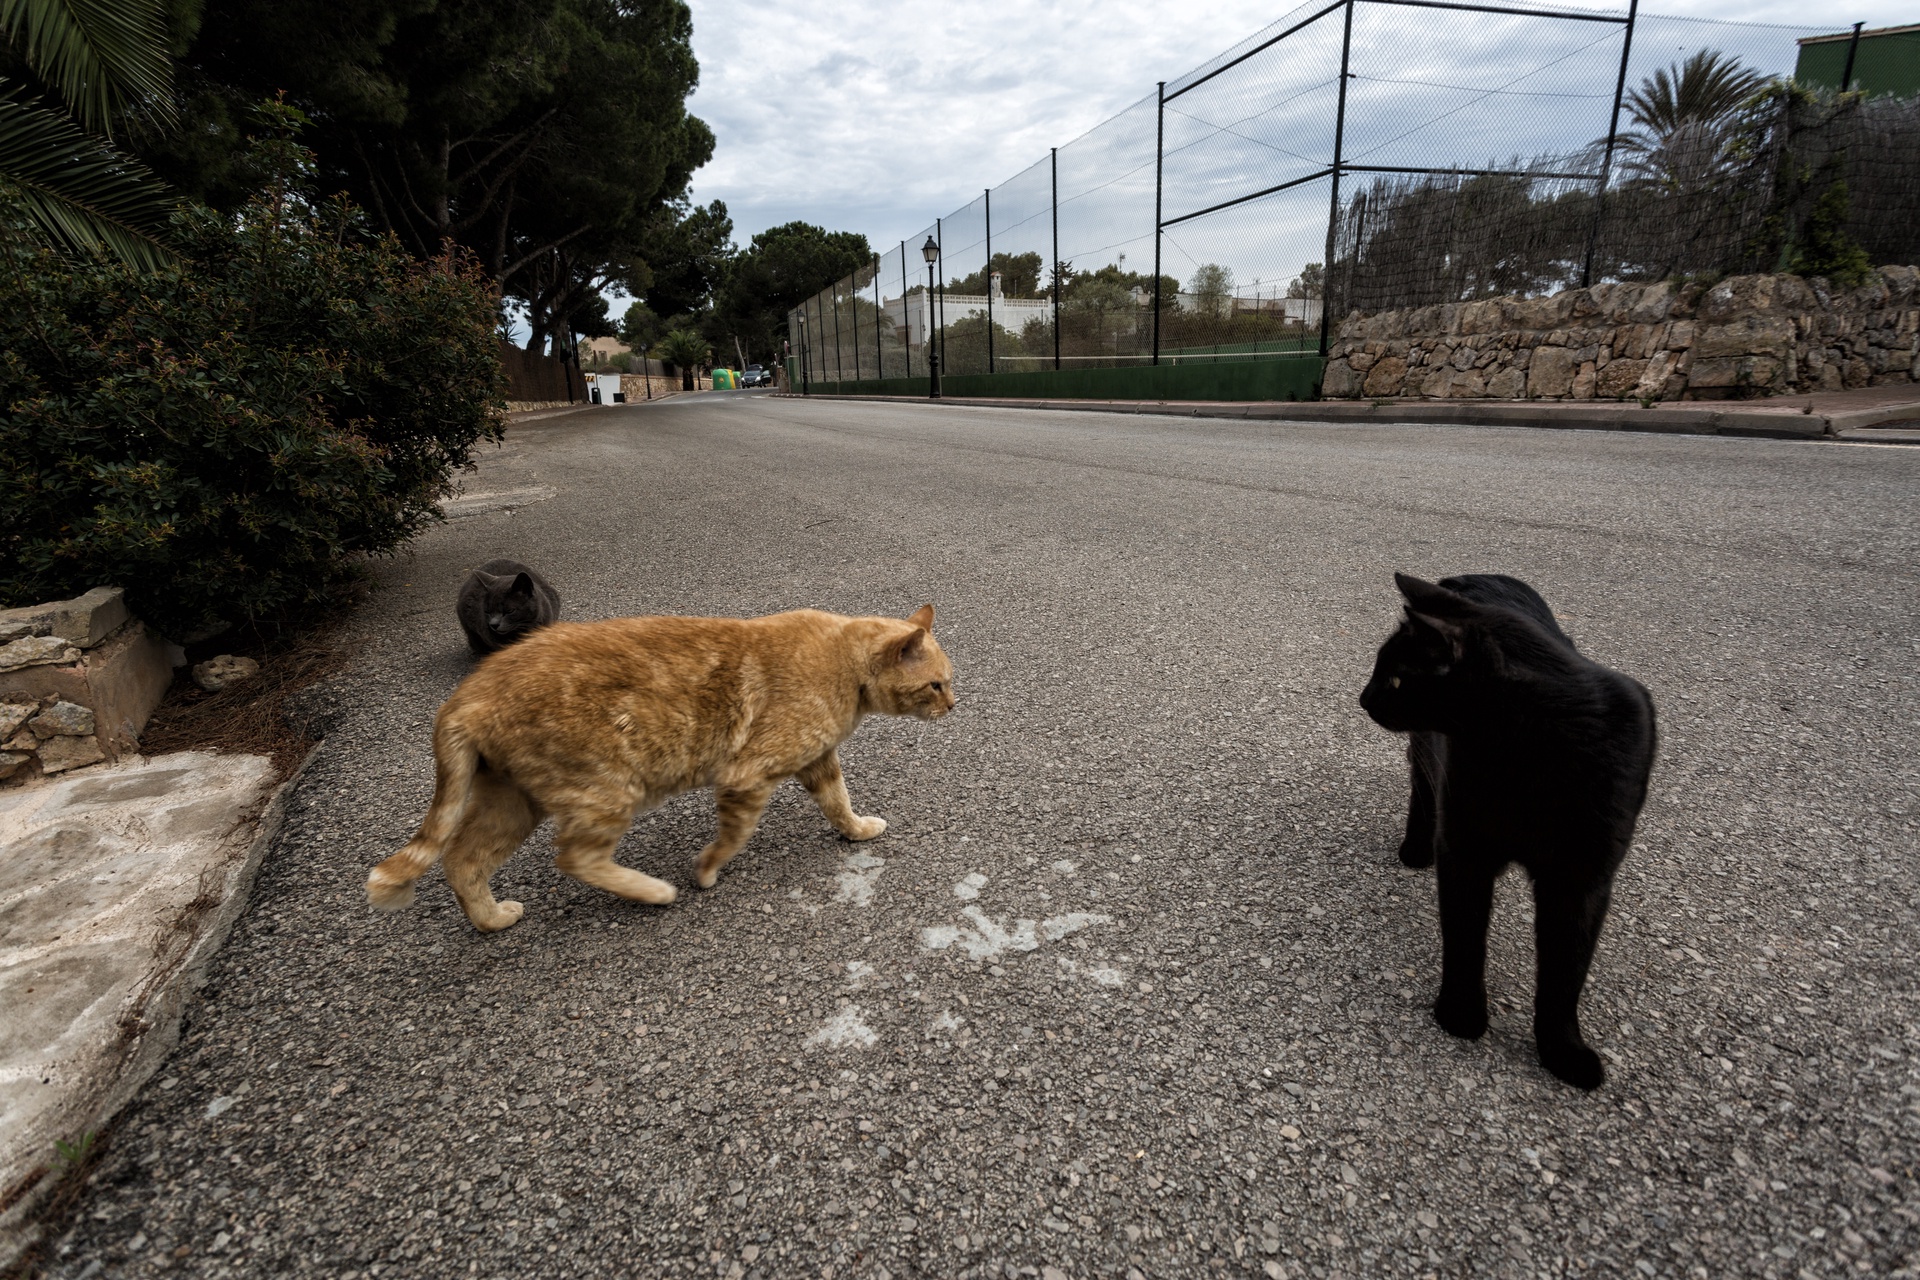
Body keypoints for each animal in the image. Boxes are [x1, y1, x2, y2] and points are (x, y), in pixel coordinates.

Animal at [367, 604, 955, 933]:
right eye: (935, 685)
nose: (955, 704)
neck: (843, 661)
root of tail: (468, 692)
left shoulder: (816, 760)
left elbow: (839, 801)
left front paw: (856, 830)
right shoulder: (748, 775)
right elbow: (732, 837)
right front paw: (705, 872)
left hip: (514, 802)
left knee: (462, 859)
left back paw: (490, 921)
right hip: (608, 790)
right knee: (574, 857)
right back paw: (653, 892)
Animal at [1359, 573, 1656, 1090]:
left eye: (1394, 678)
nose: (1362, 697)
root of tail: (1474, 576)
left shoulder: (1583, 878)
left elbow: (1565, 972)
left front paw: (1563, 1051)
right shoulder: (1465, 851)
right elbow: (1465, 939)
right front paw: (1461, 1016)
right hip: (1430, 754)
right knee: (1422, 786)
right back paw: (1415, 848)